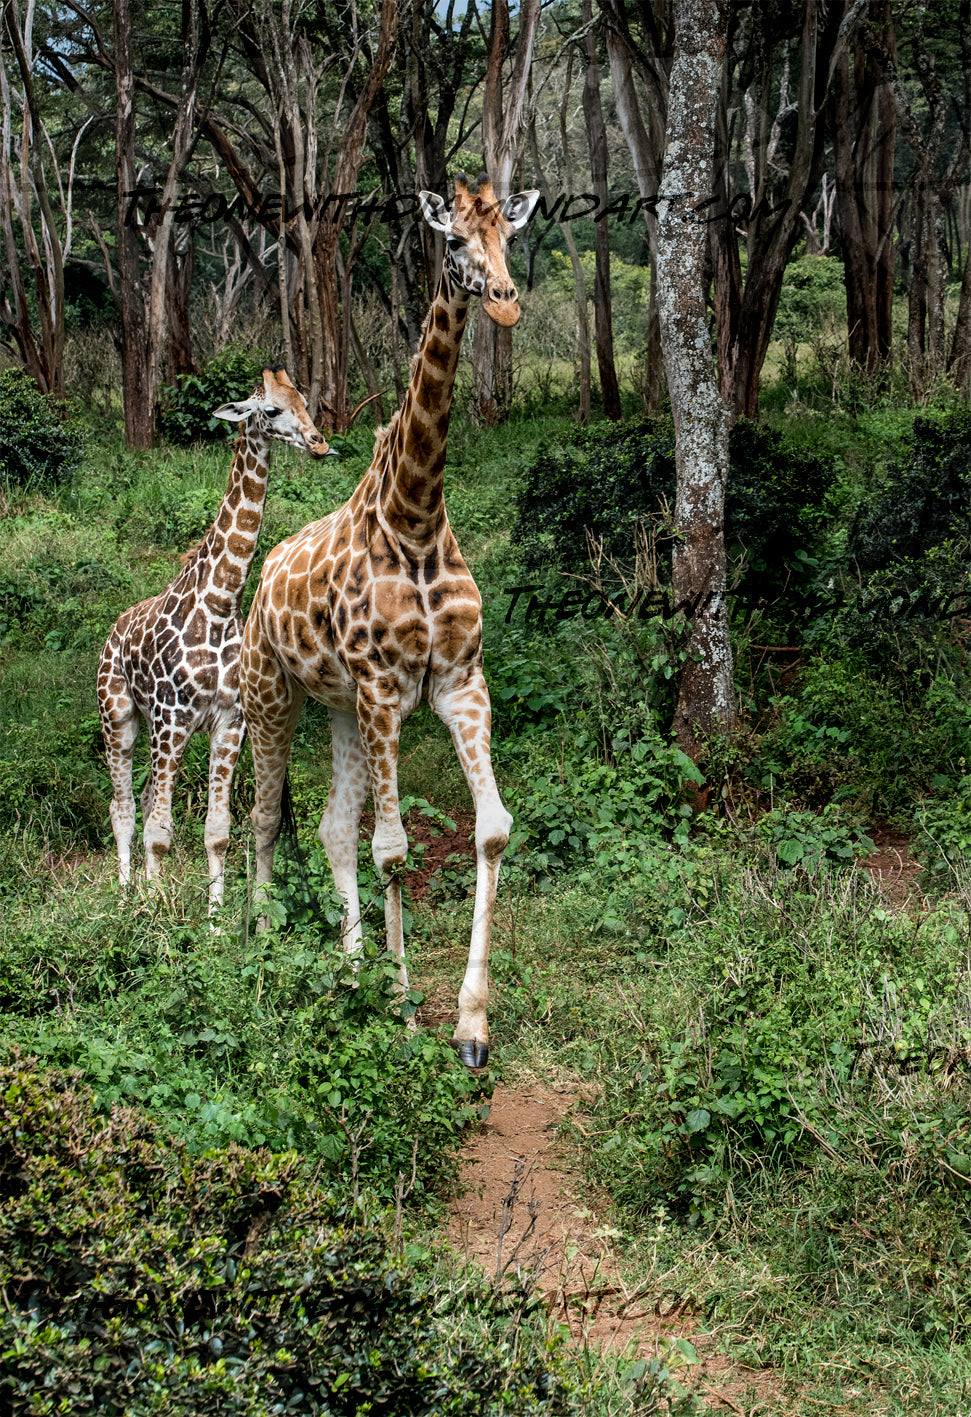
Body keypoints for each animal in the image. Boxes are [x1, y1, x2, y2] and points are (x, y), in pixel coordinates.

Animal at [98, 366, 333, 912]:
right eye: (271, 409)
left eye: (305, 402)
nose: (319, 442)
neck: (222, 602)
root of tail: (113, 631)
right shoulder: (172, 718)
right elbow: (159, 831)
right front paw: (154, 917)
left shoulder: (230, 722)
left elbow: (217, 831)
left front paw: (216, 918)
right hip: (121, 719)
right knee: (123, 808)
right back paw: (127, 895)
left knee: (143, 801)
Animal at [239, 175, 540, 1067]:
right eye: (454, 241)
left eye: (509, 236)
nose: (506, 303)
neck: (414, 515)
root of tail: (262, 574)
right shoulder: (382, 690)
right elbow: (395, 848)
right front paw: (406, 1017)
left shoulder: (458, 681)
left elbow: (492, 830)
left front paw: (470, 1025)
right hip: (274, 696)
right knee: (263, 821)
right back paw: (260, 957)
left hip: (335, 708)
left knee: (332, 829)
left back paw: (348, 974)